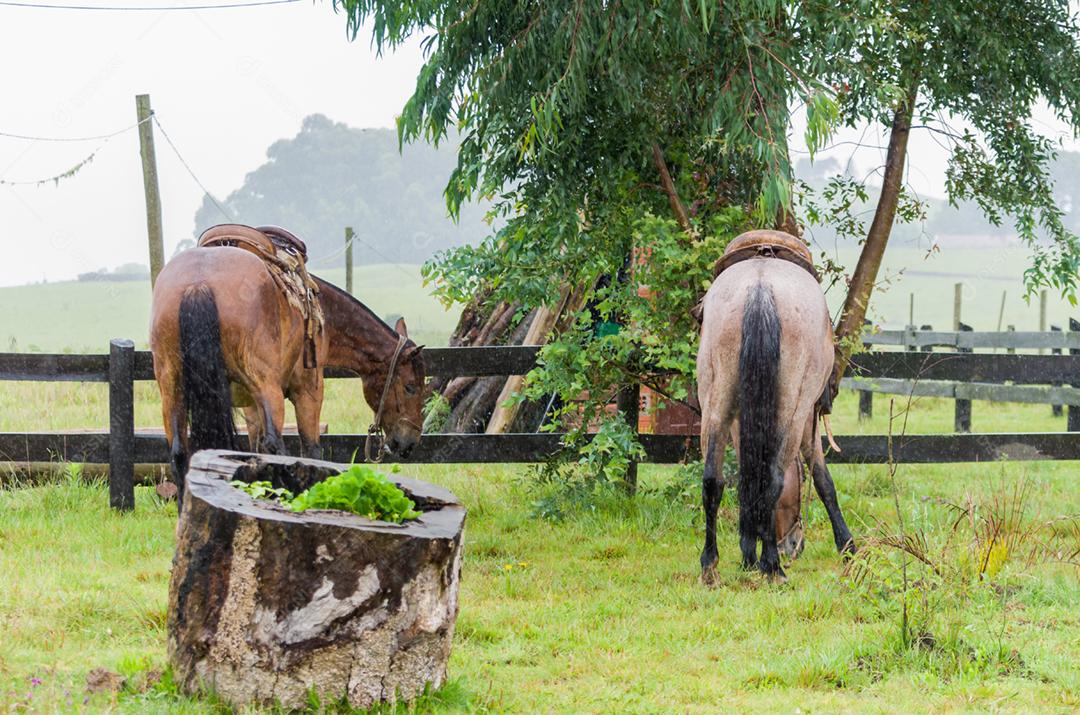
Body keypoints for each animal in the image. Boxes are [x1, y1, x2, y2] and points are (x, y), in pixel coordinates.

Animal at [149, 232, 425, 499]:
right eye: (410, 387)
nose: (410, 443)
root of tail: (198, 284)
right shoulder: (309, 392)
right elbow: (311, 448)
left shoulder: (250, 404)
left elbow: (255, 447)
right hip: (268, 389)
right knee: (275, 445)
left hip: (171, 389)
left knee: (179, 452)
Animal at [696, 230, 854, 584]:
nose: (794, 545)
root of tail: (760, 288)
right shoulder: (807, 417)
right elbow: (822, 478)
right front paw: (848, 546)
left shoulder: (739, 420)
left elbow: (745, 476)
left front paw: (747, 551)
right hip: (793, 411)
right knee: (773, 478)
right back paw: (772, 567)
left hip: (716, 401)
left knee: (713, 478)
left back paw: (710, 564)